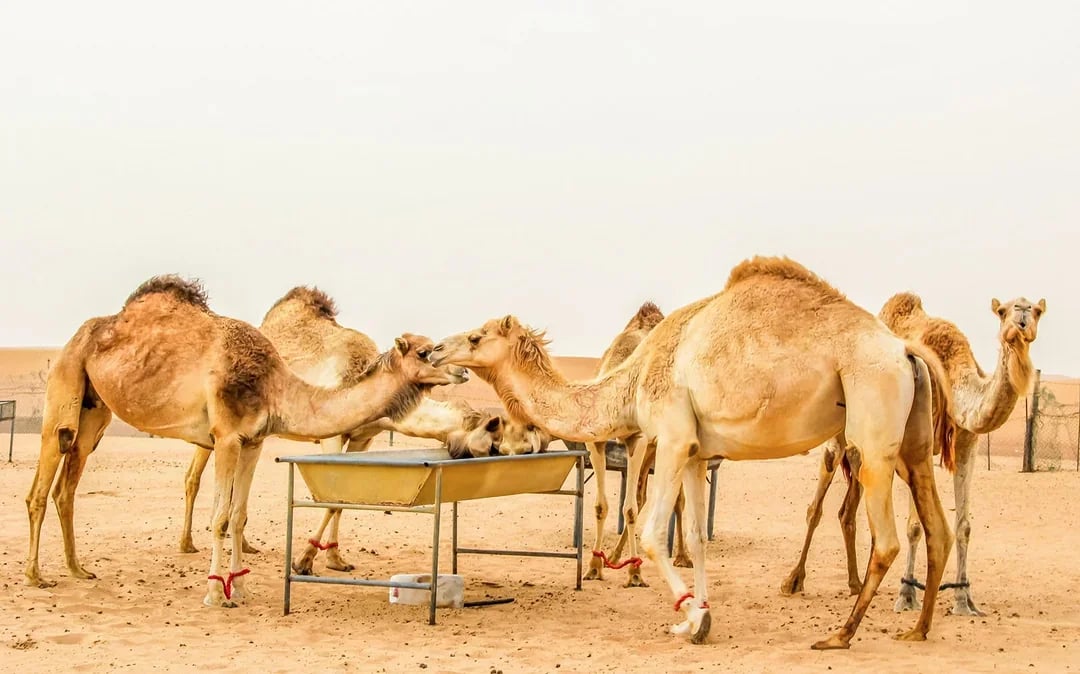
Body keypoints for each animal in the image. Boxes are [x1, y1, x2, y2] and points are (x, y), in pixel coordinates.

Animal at [25, 275, 457, 608]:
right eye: (425, 352)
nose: (458, 372)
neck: (273, 385)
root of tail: (80, 335)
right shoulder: (227, 436)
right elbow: (219, 517)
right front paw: (216, 594)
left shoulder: (253, 441)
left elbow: (238, 515)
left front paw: (243, 588)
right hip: (64, 385)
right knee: (41, 486)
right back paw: (35, 575)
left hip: (94, 412)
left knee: (67, 487)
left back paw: (77, 568)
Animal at [430, 256, 957, 649]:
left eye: (476, 336)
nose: (434, 350)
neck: (633, 378)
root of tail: (905, 349)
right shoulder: (697, 453)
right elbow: (699, 539)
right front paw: (702, 614)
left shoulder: (671, 437)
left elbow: (650, 533)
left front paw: (688, 619)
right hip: (912, 441)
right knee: (937, 527)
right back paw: (918, 628)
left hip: (872, 424)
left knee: (887, 540)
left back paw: (840, 634)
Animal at [781, 293, 1045, 618]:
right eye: (1003, 311)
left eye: (1037, 310)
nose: (1021, 316)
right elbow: (915, 526)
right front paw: (907, 594)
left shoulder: (967, 443)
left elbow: (964, 525)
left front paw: (964, 599)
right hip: (836, 438)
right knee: (815, 507)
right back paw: (794, 580)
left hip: (865, 449)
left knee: (848, 512)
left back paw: (856, 583)